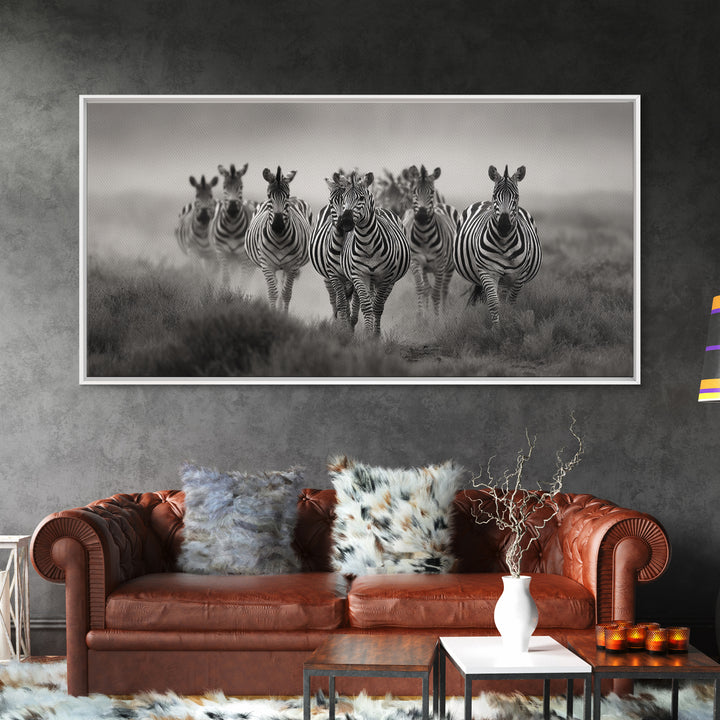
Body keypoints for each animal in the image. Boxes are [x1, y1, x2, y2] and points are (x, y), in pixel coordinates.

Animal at [245, 166, 312, 312]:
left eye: (286, 196)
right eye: (269, 196)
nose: (278, 225)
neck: (279, 239)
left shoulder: (292, 266)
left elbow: (286, 294)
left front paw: (283, 315)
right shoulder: (267, 265)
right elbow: (272, 292)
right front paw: (273, 313)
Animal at [309, 173, 359, 328]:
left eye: (347, 202)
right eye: (332, 203)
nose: (343, 223)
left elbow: (351, 302)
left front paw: (350, 323)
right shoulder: (333, 274)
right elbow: (341, 303)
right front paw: (342, 326)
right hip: (326, 276)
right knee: (333, 299)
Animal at [339, 171, 410, 336]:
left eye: (361, 198)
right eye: (344, 198)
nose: (345, 221)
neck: (367, 245)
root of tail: (380, 209)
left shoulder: (386, 278)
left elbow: (377, 307)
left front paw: (375, 336)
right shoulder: (359, 276)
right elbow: (367, 307)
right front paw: (367, 334)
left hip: (389, 281)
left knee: (379, 303)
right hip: (369, 280)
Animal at [401, 164, 458, 315]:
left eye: (431, 192)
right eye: (414, 192)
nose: (421, 215)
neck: (424, 235)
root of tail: (440, 204)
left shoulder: (440, 264)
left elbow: (436, 293)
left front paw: (438, 318)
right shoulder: (415, 262)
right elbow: (421, 289)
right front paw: (422, 316)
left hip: (449, 266)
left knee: (444, 289)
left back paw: (444, 313)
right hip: (426, 268)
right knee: (427, 288)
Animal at [454, 164, 542, 324]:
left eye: (516, 196)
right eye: (495, 195)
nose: (504, 225)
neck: (505, 243)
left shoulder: (519, 275)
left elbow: (510, 302)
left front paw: (510, 322)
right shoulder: (488, 271)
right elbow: (494, 303)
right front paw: (497, 328)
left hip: (506, 278)